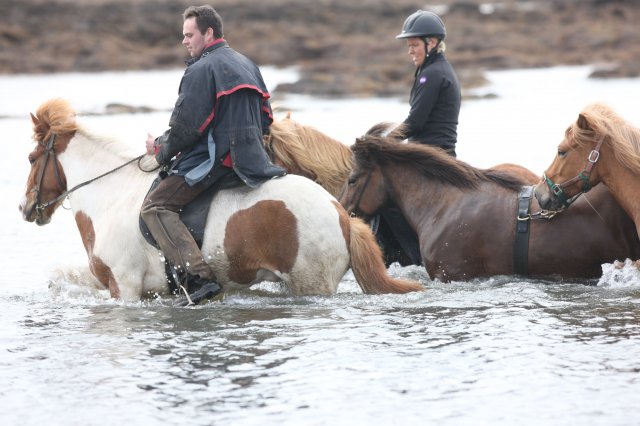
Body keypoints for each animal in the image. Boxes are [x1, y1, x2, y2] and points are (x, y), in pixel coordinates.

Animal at [18, 99, 424, 300]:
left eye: (32, 159)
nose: (25, 208)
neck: (111, 197)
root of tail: (339, 211)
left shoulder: (126, 288)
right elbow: (59, 278)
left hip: (312, 283)